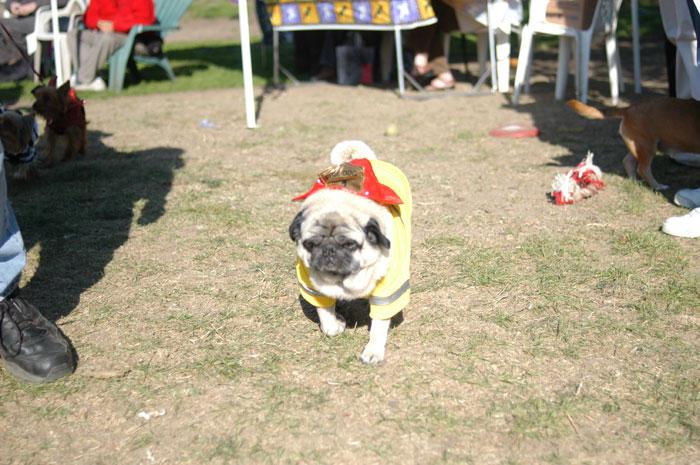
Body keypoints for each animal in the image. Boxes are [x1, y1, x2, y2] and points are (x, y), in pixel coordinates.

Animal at [289, 141, 412, 364]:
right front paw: (334, 325)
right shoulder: (312, 284)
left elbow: (379, 324)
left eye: (349, 244)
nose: (329, 250)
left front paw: (373, 350)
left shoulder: (388, 290)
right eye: (311, 244)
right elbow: (325, 311)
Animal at [567, 98, 700, 191]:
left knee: (628, 161)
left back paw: (635, 182)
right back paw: (657, 186)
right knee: (642, 169)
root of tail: (628, 109)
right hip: (648, 147)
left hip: (639, 146)